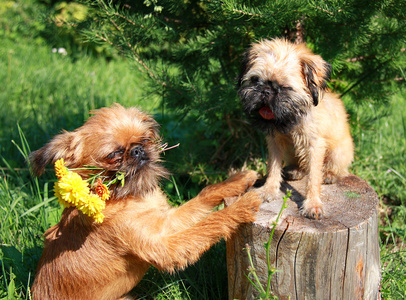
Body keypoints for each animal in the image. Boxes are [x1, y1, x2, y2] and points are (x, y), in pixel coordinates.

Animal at [29, 104, 260, 298]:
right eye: (114, 154)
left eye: (145, 139)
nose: (137, 150)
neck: (128, 197)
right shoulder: (166, 248)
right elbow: (209, 224)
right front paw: (242, 206)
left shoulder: (167, 222)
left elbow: (206, 194)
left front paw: (238, 180)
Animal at [236, 38, 354, 219]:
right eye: (255, 80)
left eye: (285, 86)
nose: (266, 90)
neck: (291, 117)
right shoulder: (275, 143)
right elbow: (273, 168)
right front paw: (269, 189)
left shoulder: (315, 145)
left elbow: (313, 177)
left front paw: (313, 203)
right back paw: (296, 170)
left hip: (339, 151)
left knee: (339, 169)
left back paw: (329, 174)